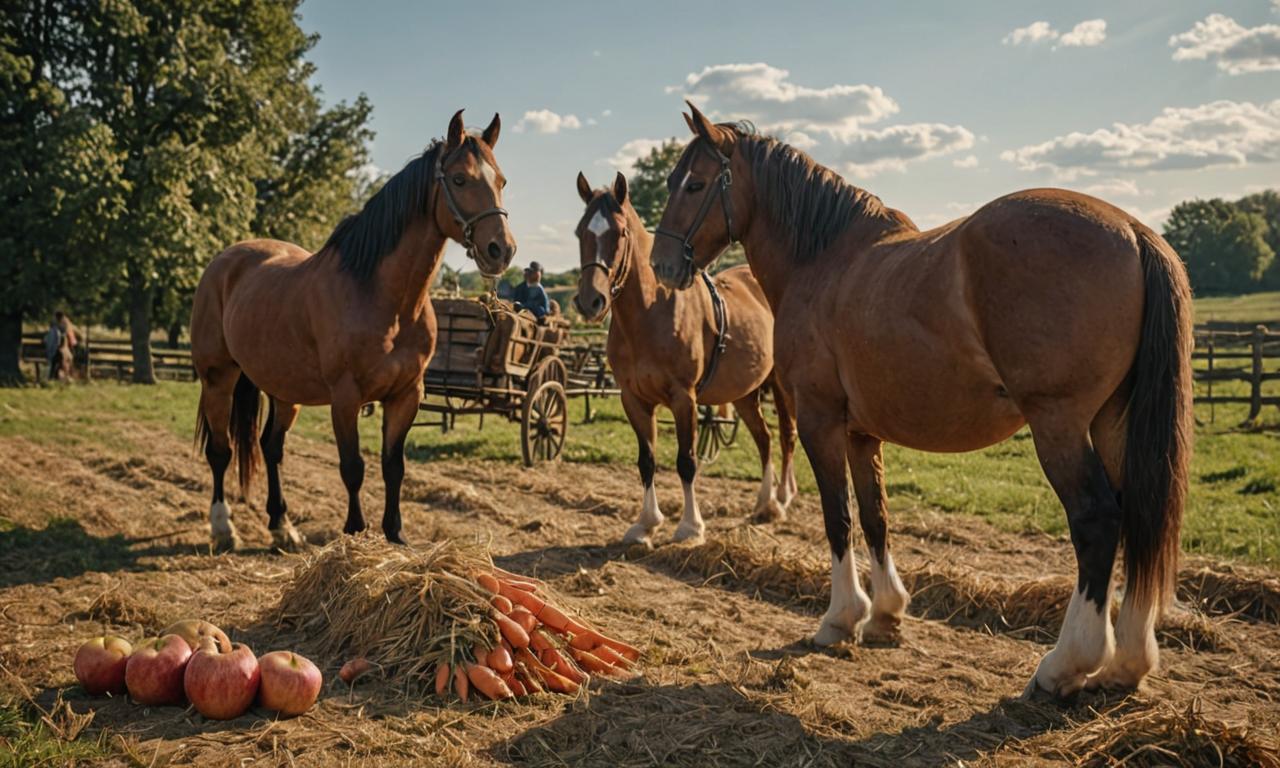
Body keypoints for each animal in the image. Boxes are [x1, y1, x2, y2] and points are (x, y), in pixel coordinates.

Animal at [192, 109, 512, 552]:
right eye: (460, 179)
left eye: (501, 181)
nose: (502, 250)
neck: (385, 300)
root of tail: (223, 262)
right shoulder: (345, 397)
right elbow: (353, 467)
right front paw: (356, 533)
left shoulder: (406, 395)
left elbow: (393, 466)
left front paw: (395, 535)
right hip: (218, 379)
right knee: (220, 451)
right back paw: (224, 528)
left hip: (282, 389)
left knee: (271, 449)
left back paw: (281, 525)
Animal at [576, 171, 793, 542]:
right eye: (580, 232)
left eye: (620, 233)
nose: (590, 300)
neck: (650, 313)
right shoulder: (633, 398)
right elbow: (646, 460)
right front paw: (645, 524)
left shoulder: (684, 398)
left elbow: (686, 461)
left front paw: (691, 527)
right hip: (745, 393)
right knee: (763, 439)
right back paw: (764, 503)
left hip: (777, 383)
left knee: (785, 437)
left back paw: (779, 500)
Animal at [655, 103, 1192, 701]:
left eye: (695, 183)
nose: (660, 263)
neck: (823, 260)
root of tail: (1133, 230)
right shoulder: (862, 433)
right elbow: (876, 517)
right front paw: (885, 614)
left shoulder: (821, 420)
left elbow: (838, 518)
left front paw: (840, 618)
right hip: (1113, 423)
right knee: (1139, 519)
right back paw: (1126, 664)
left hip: (1059, 424)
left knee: (1097, 521)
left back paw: (1065, 664)